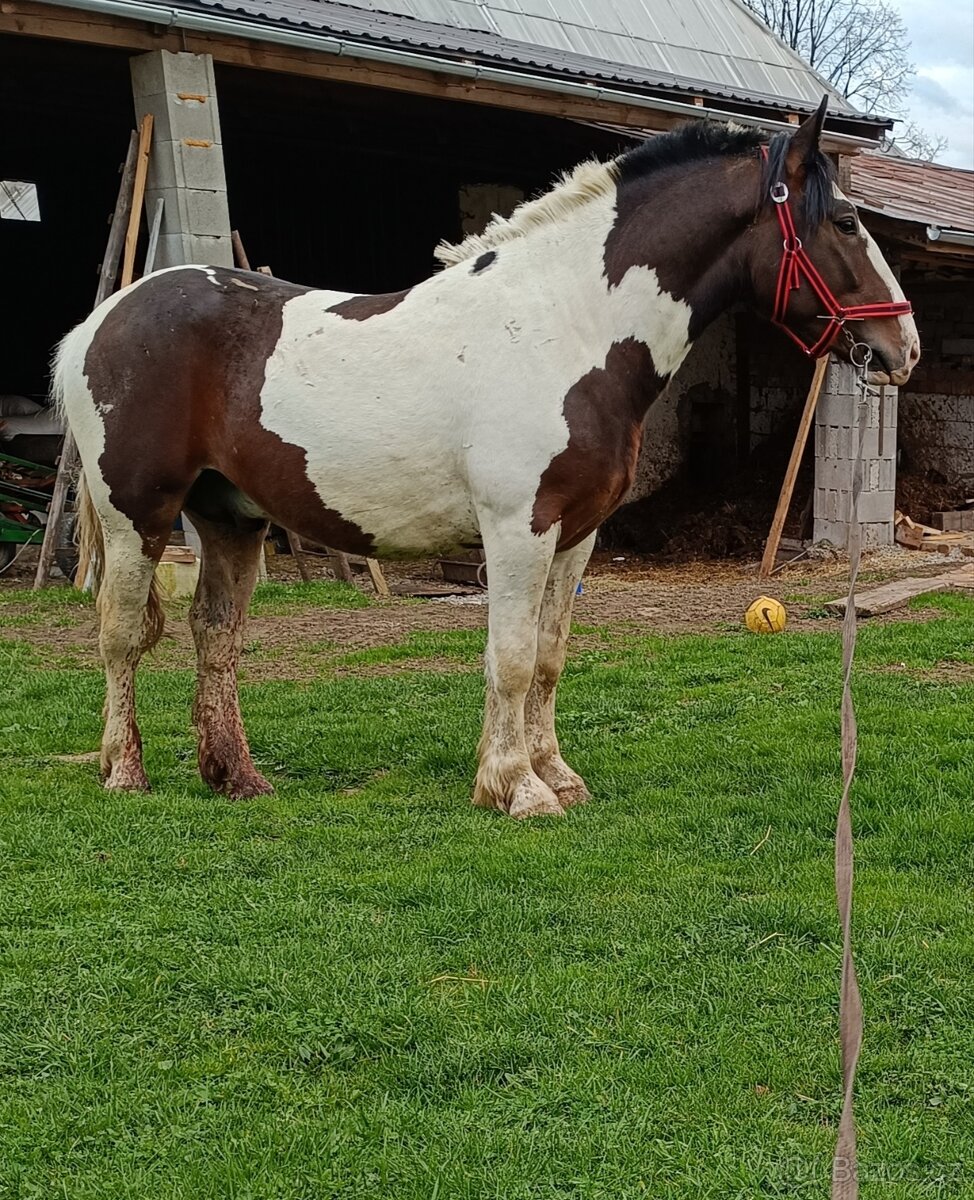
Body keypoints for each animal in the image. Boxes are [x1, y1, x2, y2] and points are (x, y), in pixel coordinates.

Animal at [53, 98, 921, 820]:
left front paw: (557, 775)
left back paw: (235, 776)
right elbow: (509, 658)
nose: (901, 347)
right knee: (120, 635)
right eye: (847, 222)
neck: (567, 325)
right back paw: (124, 771)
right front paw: (515, 789)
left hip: (231, 519)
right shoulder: (517, 530)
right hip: (139, 516)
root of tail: (102, 321)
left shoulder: (577, 538)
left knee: (216, 634)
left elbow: (548, 658)